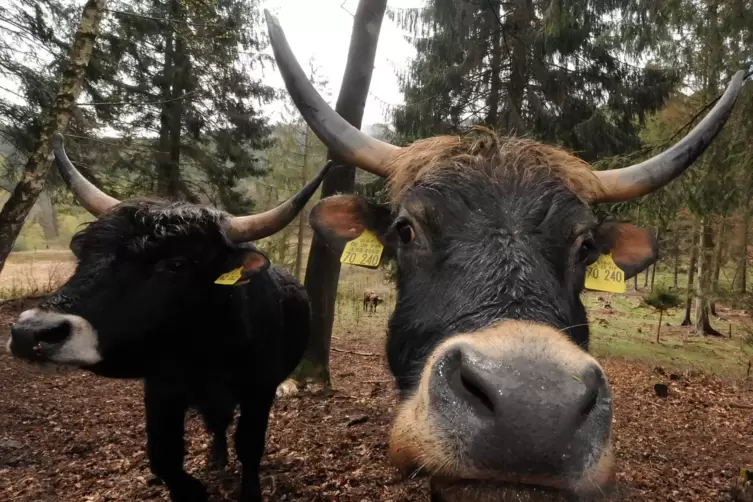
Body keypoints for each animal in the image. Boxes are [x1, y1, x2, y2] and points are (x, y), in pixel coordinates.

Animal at [5, 134, 328, 502]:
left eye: (176, 264)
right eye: (84, 253)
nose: (30, 332)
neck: (206, 353)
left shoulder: (260, 390)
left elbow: (249, 446)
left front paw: (249, 491)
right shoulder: (161, 391)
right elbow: (163, 456)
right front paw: (190, 488)